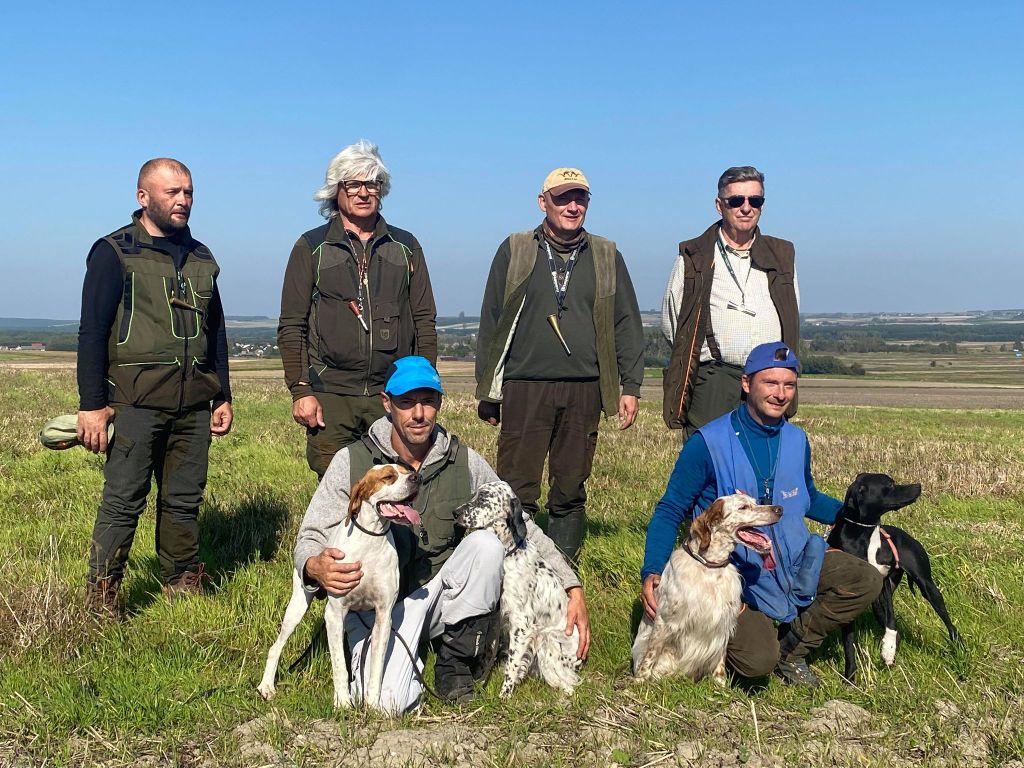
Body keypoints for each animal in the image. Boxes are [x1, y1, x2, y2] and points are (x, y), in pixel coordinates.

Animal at [258, 462, 421, 708]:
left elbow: (376, 669)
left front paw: (372, 705)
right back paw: (266, 686)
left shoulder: (383, 616)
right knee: (275, 647)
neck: (370, 540)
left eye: (407, 470)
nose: (417, 478)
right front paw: (343, 703)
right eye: (388, 477)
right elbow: (339, 666)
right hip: (297, 607)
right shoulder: (335, 613)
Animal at [827, 473, 962, 684]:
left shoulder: (885, 587)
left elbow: (891, 622)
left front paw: (888, 649)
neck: (864, 536)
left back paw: (960, 649)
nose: (919, 485)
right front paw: (850, 677)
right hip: (877, 603)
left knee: (949, 624)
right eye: (890, 485)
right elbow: (849, 643)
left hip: (928, 588)